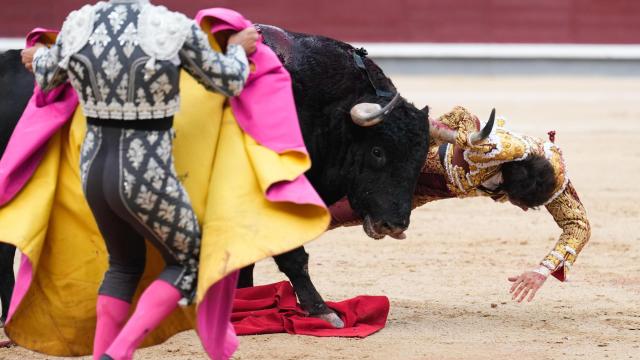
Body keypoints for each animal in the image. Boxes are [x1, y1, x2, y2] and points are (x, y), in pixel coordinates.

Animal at [1, 26, 430, 328]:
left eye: (419, 157)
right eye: (378, 151)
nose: (395, 224)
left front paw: (245, 302)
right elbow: (293, 256)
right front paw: (322, 310)